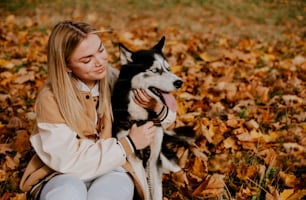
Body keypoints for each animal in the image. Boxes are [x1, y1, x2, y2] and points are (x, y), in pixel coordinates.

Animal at [112, 36, 184, 199]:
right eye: (155, 70)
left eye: (168, 69)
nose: (179, 82)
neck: (141, 118)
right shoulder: (134, 159)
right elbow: (145, 190)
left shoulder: (154, 157)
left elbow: (156, 192)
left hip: (165, 159)